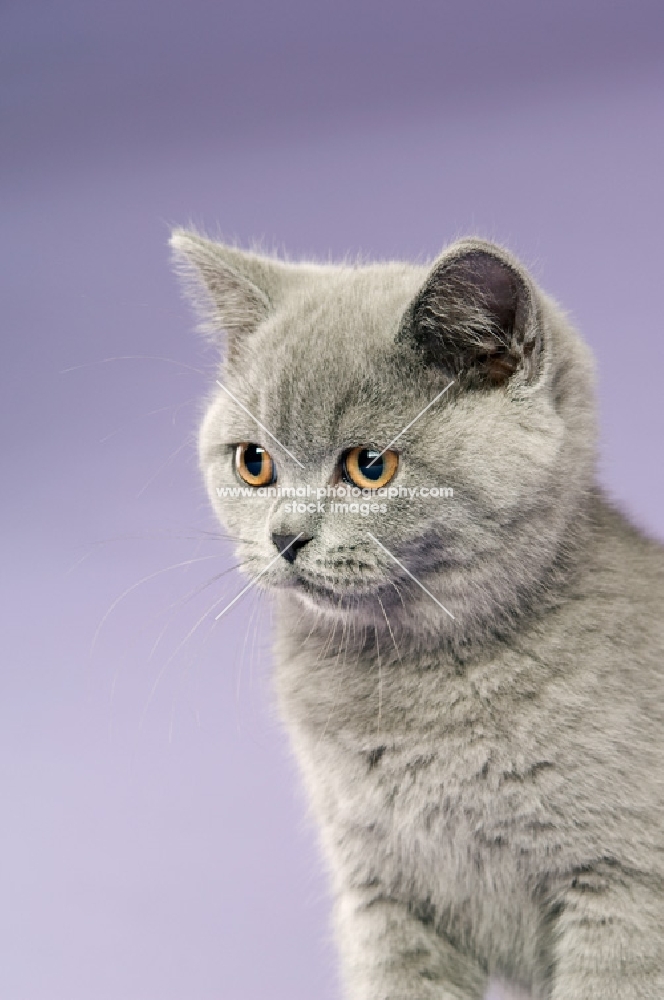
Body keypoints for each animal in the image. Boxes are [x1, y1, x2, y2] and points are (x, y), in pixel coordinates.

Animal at [171, 229, 664, 1000]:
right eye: (253, 463)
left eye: (370, 466)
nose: (285, 536)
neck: (415, 690)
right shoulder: (382, 894)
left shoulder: (625, 889)